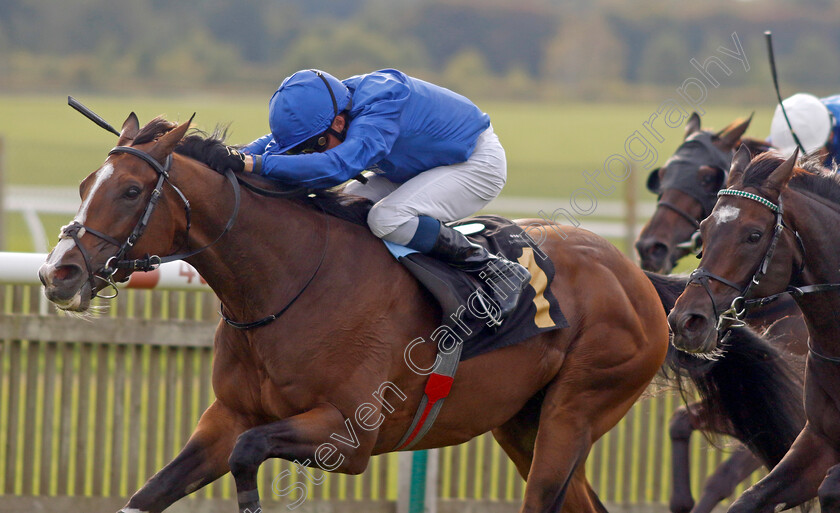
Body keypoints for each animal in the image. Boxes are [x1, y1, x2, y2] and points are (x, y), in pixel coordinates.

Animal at [39, 113, 672, 512]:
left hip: (575, 413)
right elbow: (149, 494)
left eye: (130, 191)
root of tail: (635, 277)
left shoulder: (349, 437)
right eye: (84, 185)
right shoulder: (227, 419)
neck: (286, 286)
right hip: (522, 422)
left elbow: (249, 456)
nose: (57, 273)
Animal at [636, 112, 808, 512]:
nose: (651, 247)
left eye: (705, 177)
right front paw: (682, 499)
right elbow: (680, 423)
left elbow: (724, 478)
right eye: (662, 175)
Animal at [668, 145, 840, 512]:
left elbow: (830, 488)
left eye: (754, 235)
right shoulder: (817, 439)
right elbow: (747, 499)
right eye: (704, 229)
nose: (686, 321)